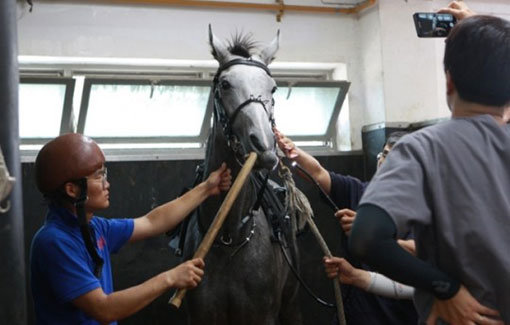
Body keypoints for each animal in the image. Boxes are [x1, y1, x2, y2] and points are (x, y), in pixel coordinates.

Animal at [182, 27, 304, 324]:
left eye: (273, 88)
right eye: (225, 85)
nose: (264, 145)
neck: (229, 238)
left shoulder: (262, 315)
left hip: (292, 303)